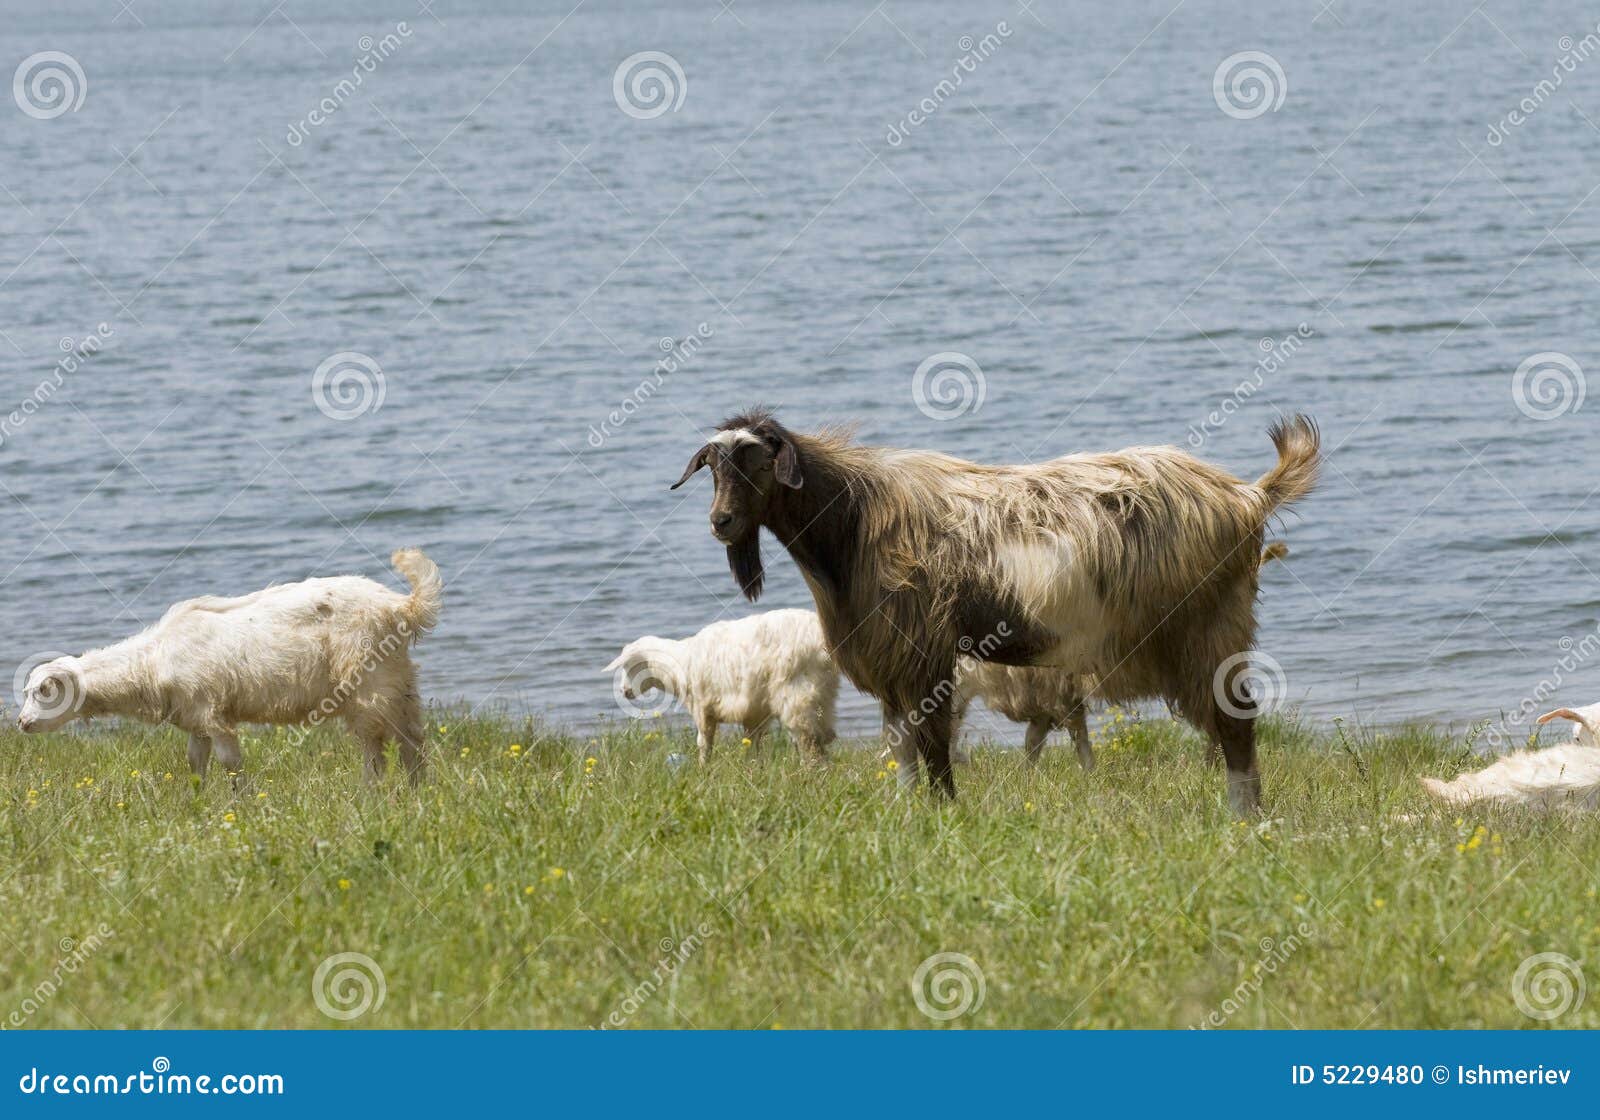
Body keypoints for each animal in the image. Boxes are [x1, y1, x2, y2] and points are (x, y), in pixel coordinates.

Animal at [16, 548, 442, 784]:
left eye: (44, 690)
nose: (20, 723)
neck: (151, 663)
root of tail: (401, 605)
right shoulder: (195, 718)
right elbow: (195, 764)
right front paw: (196, 803)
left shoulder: (213, 712)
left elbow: (230, 765)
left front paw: (243, 805)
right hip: (399, 681)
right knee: (412, 742)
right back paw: (416, 793)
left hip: (368, 684)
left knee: (376, 748)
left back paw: (369, 796)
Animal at [605, 608, 839, 764]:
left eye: (629, 665)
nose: (624, 692)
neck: (680, 662)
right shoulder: (753, 711)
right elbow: (752, 743)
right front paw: (753, 769)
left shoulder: (702, 707)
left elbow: (704, 743)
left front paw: (703, 770)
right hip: (822, 694)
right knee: (821, 737)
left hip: (797, 693)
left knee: (809, 740)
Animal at [670, 409, 1319, 815]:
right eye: (712, 467)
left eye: (757, 461)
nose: (721, 522)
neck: (856, 518)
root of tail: (1247, 496)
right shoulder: (890, 652)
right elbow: (901, 745)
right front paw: (908, 814)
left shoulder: (922, 649)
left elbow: (932, 744)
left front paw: (944, 815)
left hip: (1205, 626)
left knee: (1235, 723)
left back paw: (1244, 817)